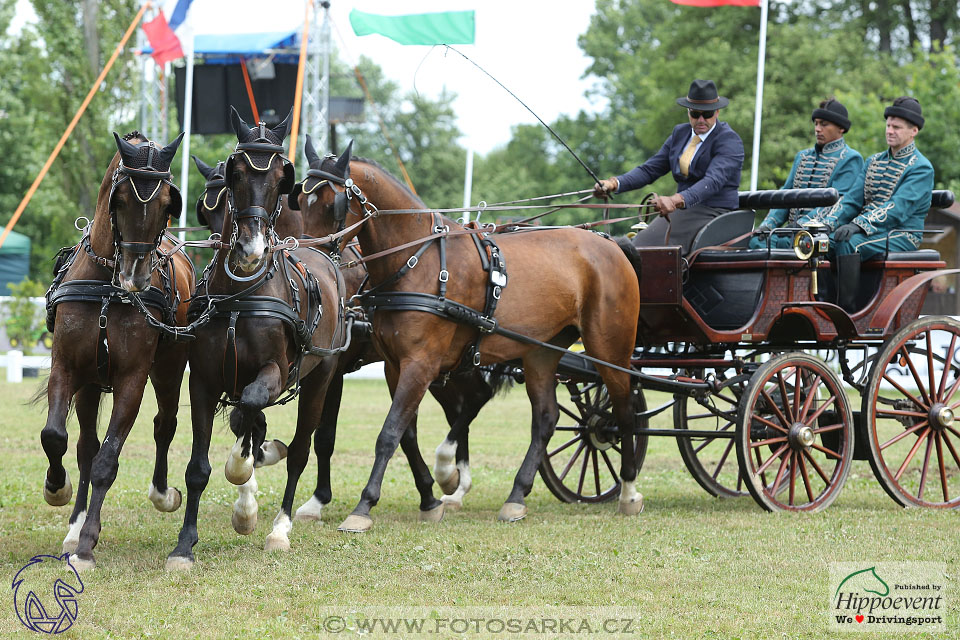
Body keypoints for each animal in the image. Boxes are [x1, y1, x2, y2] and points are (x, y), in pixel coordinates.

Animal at [42, 131, 195, 568]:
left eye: (167, 203)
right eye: (120, 198)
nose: (136, 277)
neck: (107, 287)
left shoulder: (132, 379)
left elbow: (107, 461)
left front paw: (87, 545)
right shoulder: (66, 367)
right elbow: (56, 437)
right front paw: (57, 490)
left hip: (169, 370)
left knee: (164, 424)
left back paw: (162, 494)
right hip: (91, 383)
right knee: (84, 446)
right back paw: (73, 522)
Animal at [164, 106, 344, 568]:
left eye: (283, 177)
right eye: (236, 173)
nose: (251, 250)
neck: (242, 294)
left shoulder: (274, 373)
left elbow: (249, 407)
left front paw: (242, 481)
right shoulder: (204, 380)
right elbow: (199, 467)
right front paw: (184, 545)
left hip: (321, 377)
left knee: (300, 450)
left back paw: (280, 526)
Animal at [298, 144, 644, 528]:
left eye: (332, 204)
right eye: (299, 199)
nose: (308, 259)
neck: (415, 260)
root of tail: (611, 244)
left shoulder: (419, 364)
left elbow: (388, 433)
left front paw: (363, 506)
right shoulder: (394, 364)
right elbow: (405, 433)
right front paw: (430, 497)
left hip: (609, 348)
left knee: (624, 409)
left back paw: (629, 490)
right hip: (540, 352)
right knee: (545, 417)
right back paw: (516, 496)